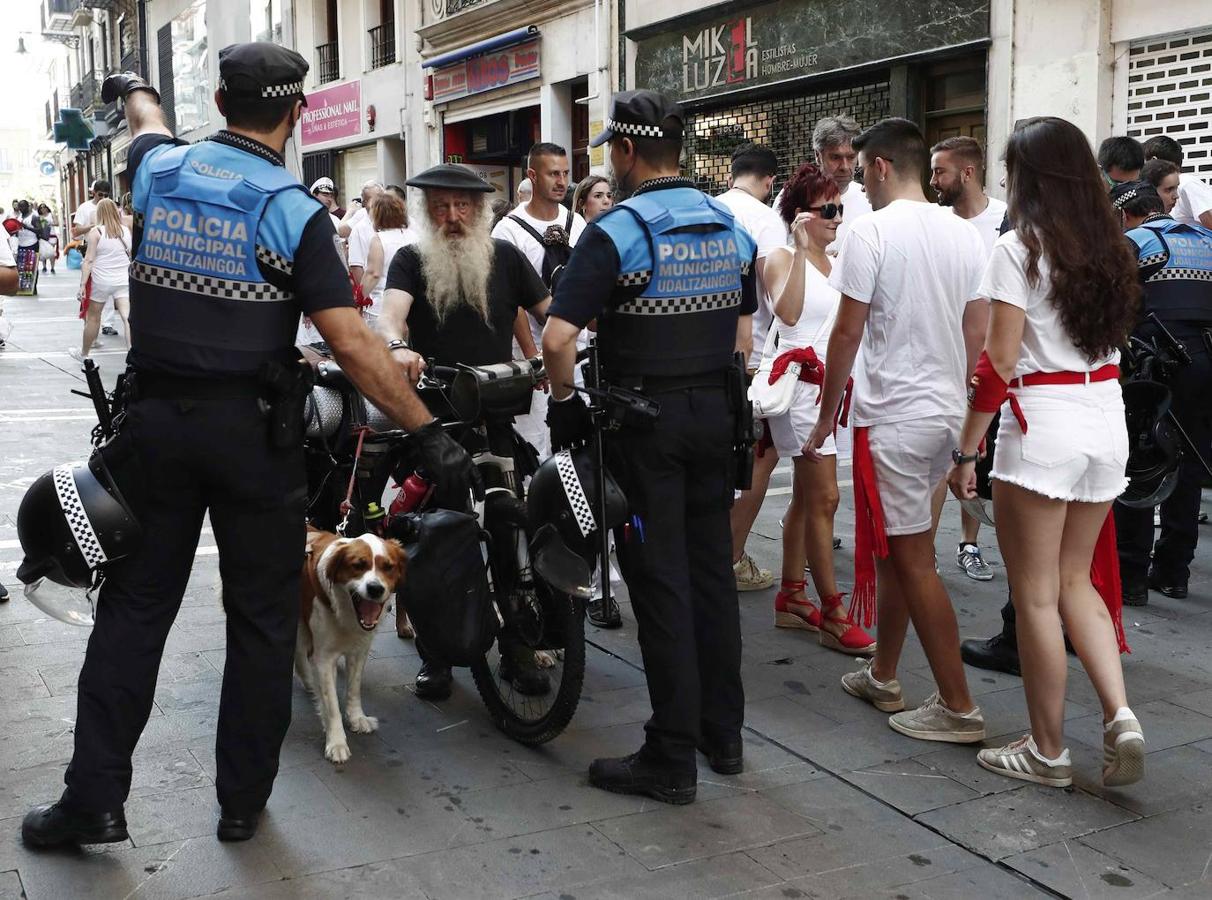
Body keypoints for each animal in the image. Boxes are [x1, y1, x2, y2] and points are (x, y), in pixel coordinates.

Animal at [296, 528, 407, 765]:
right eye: (358, 565)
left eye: (388, 567)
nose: (375, 589)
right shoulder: (324, 658)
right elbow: (331, 705)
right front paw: (336, 742)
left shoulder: (359, 649)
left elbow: (353, 688)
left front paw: (357, 717)